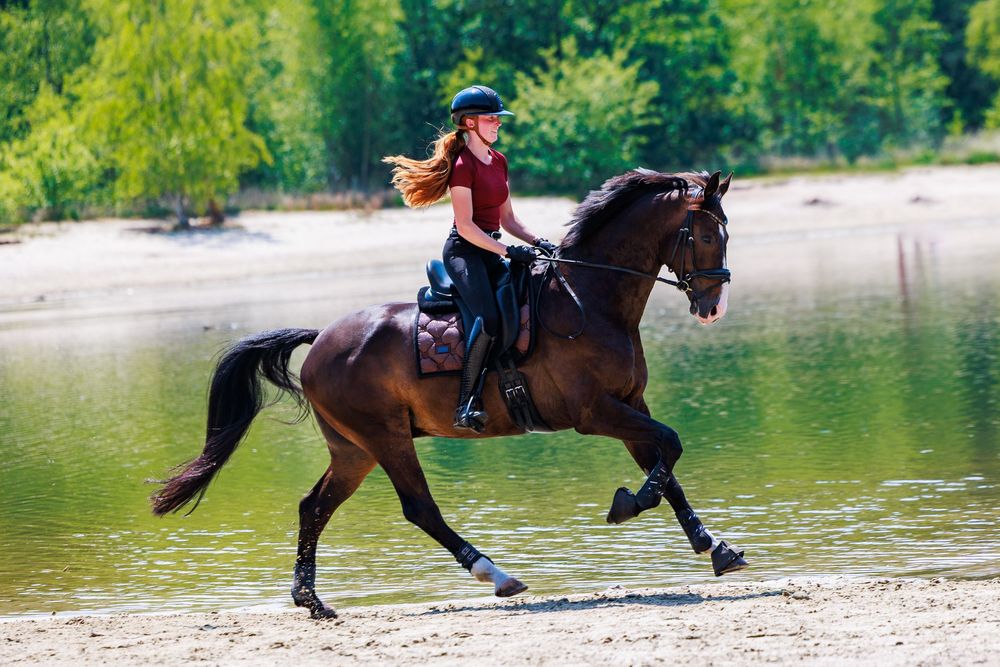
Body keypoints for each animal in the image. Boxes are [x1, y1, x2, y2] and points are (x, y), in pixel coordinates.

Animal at [151, 168, 744, 619]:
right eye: (706, 236)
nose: (714, 308)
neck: (590, 298)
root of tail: (319, 339)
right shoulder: (594, 411)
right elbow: (670, 448)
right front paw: (629, 505)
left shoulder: (629, 404)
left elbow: (667, 464)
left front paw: (713, 546)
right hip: (385, 437)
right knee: (419, 508)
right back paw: (495, 574)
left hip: (353, 450)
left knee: (313, 507)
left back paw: (311, 600)